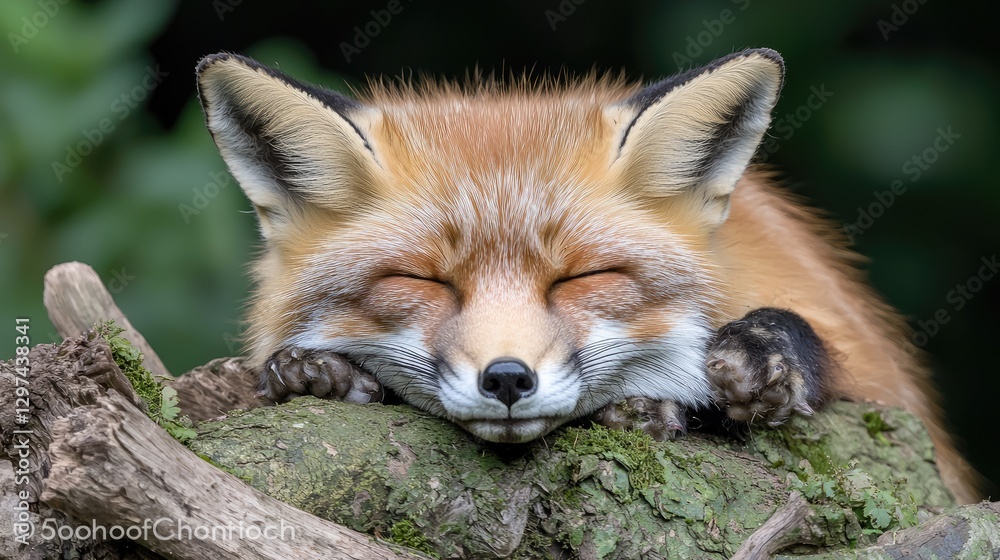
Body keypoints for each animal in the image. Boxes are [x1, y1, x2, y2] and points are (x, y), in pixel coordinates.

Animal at [195, 48, 978, 504]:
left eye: (581, 278)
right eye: (422, 282)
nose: (508, 379)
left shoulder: (873, 375)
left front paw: (756, 359)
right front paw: (310, 374)